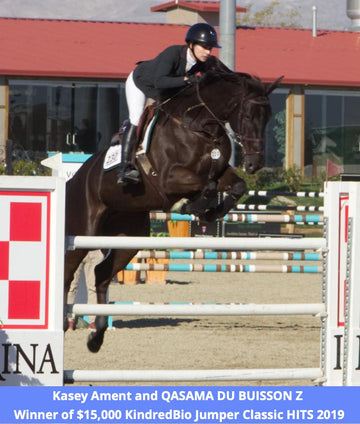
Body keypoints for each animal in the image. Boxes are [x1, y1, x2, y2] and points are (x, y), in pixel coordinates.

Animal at [64, 58, 284, 352]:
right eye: (248, 116)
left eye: (268, 117)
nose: (254, 164)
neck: (200, 127)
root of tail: (75, 178)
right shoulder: (169, 178)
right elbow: (205, 186)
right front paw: (191, 206)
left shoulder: (221, 171)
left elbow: (235, 186)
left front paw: (211, 212)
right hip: (81, 233)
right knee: (68, 271)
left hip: (129, 238)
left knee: (101, 274)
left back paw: (96, 337)